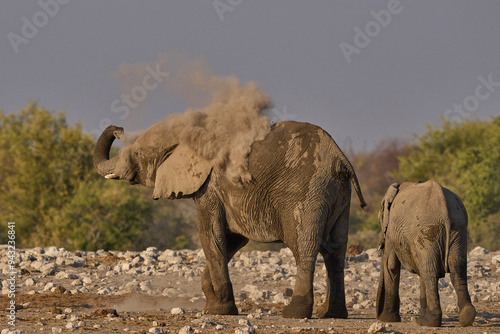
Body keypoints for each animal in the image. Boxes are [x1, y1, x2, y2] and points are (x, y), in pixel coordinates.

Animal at [94, 120, 368, 318]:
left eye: (136, 153)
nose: (118, 129)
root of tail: (340, 158)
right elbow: (231, 240)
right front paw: (211, 305)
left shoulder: (209, 186)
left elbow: (211, 235)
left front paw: (219, 311)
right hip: (339, 194)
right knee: (336, 251)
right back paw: (331, 314)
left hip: (307, 190)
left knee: (304, 247)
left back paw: (294, 314)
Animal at [376, 181, 474, 328]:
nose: (377, 315)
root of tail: (444, 210)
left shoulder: (391, 230)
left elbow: (391, 264)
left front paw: (386, 320)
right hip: (458, 230)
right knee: (456, 269)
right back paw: (466, 317)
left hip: (426, 230)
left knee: (430, 272)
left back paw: (429, 322)